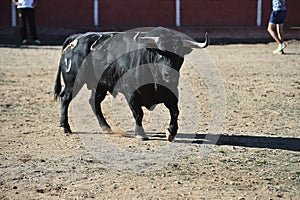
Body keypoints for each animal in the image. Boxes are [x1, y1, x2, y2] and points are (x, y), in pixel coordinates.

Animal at [54, 27, 209, 142]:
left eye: (179, 55)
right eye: (160, 54)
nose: (170, 75)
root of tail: (77, 37)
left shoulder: (171, 92)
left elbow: (175, 111)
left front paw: (171, 131)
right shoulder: (132, 93)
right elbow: (138, 113)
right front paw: (140, 133)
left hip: (100, 85)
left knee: (94, 101)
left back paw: (106, 127)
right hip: (73, 81)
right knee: (65, 98)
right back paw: (66, 127)